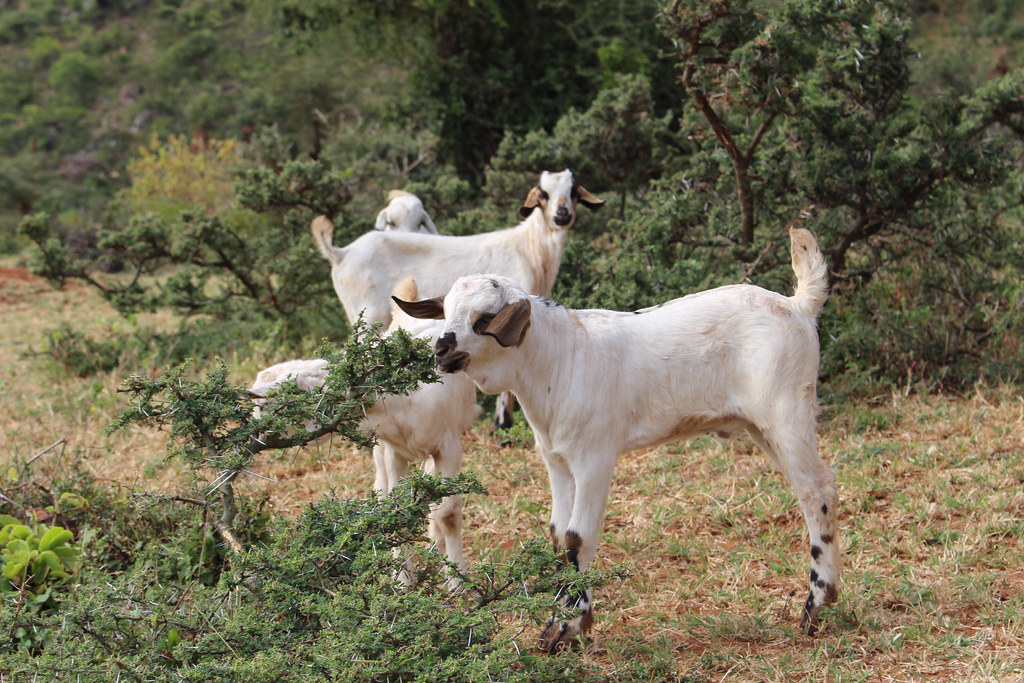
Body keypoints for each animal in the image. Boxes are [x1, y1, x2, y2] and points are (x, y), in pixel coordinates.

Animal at [249, 279, 480, 576]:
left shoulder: (449, 446)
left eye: (267, 406)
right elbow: (395, 507)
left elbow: (448, 513)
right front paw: (402, 579)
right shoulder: (394, 450)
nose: (256, 435)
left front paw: (457, 578)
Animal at [312, 169, 603, 432]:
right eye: (544, 193)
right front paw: (503, 426)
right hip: (367, 314)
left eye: (572, 191)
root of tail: (341, 253)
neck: (531, 249)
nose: (562, 215)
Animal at [394, 227, 838, 652]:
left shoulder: (595, 457)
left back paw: (817, 604)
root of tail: (798, 305)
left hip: (786, 416)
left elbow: (578, 538)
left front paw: (569, 627)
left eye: (485, 318)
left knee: (817, 491)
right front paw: (562, 621)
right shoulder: (556, 460)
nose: (442, 349)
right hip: (760, 428)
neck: (561, 357)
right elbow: (558, 535)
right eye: (445, 312)